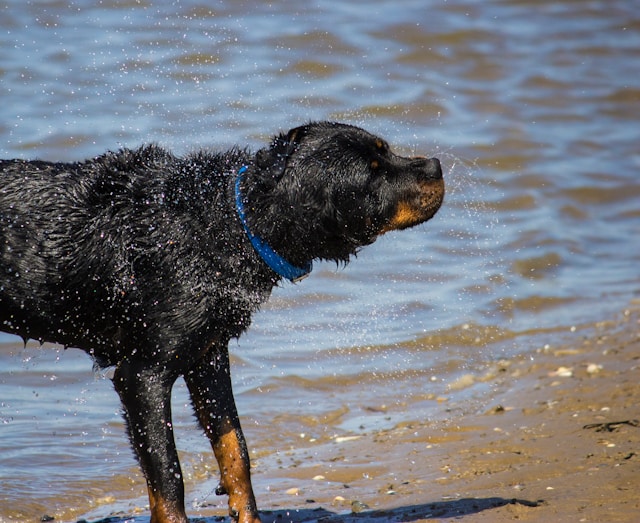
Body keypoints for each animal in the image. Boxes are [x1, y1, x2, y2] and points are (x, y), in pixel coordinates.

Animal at [0, 121, 444, 520]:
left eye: (385, 150)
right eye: (373, 172)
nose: (436, 165)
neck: (226, 222)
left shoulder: (208, 356)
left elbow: (235, 448)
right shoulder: (142, 375)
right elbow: (168, 477)